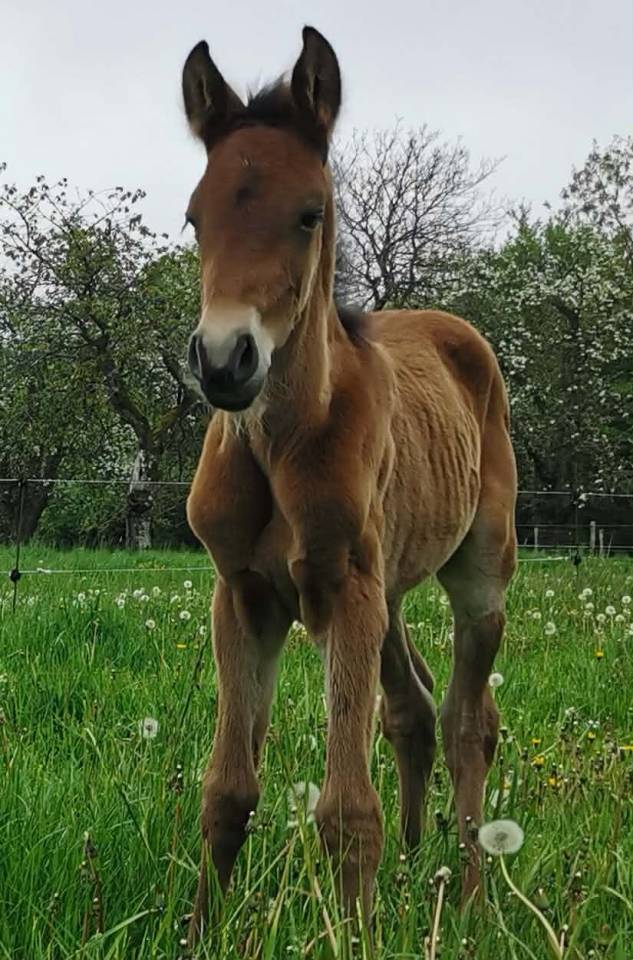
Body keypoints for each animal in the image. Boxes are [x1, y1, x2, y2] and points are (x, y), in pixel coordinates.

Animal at [181, 25, 517, 942]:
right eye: (195, 218)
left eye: (308, 215)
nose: (223, 362)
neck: (280, 444)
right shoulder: (244, 594)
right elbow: (227, 788)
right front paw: (197, 930)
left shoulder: (344, 588)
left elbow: (343, 807)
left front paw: (357, 931)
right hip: (391, 588)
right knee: (411, 711)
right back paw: (414, 859)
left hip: (475, 569)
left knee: (469, 722)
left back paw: (469, 896)